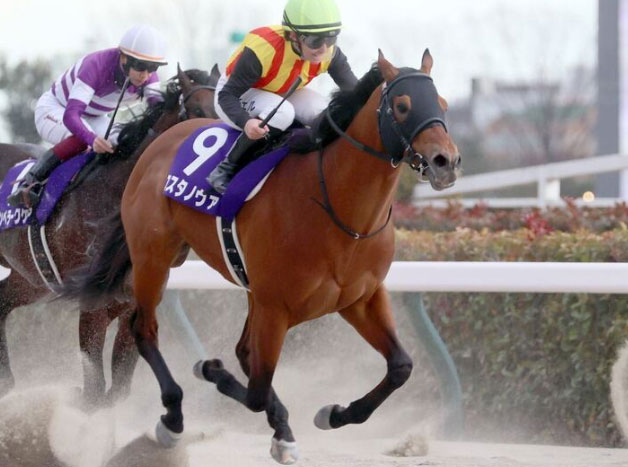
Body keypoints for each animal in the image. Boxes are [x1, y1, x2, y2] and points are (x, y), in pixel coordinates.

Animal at [0, 65, 218, 407]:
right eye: (196, 111)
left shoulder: (133, 304)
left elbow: (117, 389)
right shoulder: (92, 302)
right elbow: (94, 389)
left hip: (32, 281)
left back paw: (8, 382)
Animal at [63, 49, 460, 463]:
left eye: (443, 104)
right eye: (402, 106)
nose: (445, 161)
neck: (338, 207)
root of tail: (158, 144)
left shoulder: (360, 299)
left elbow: (401, 367)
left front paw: (333, 414)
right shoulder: (275, 306)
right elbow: (255, 389)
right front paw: (212, 371)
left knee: (238, 351)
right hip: (153, 258)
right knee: (144, 329)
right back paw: (172, 418)